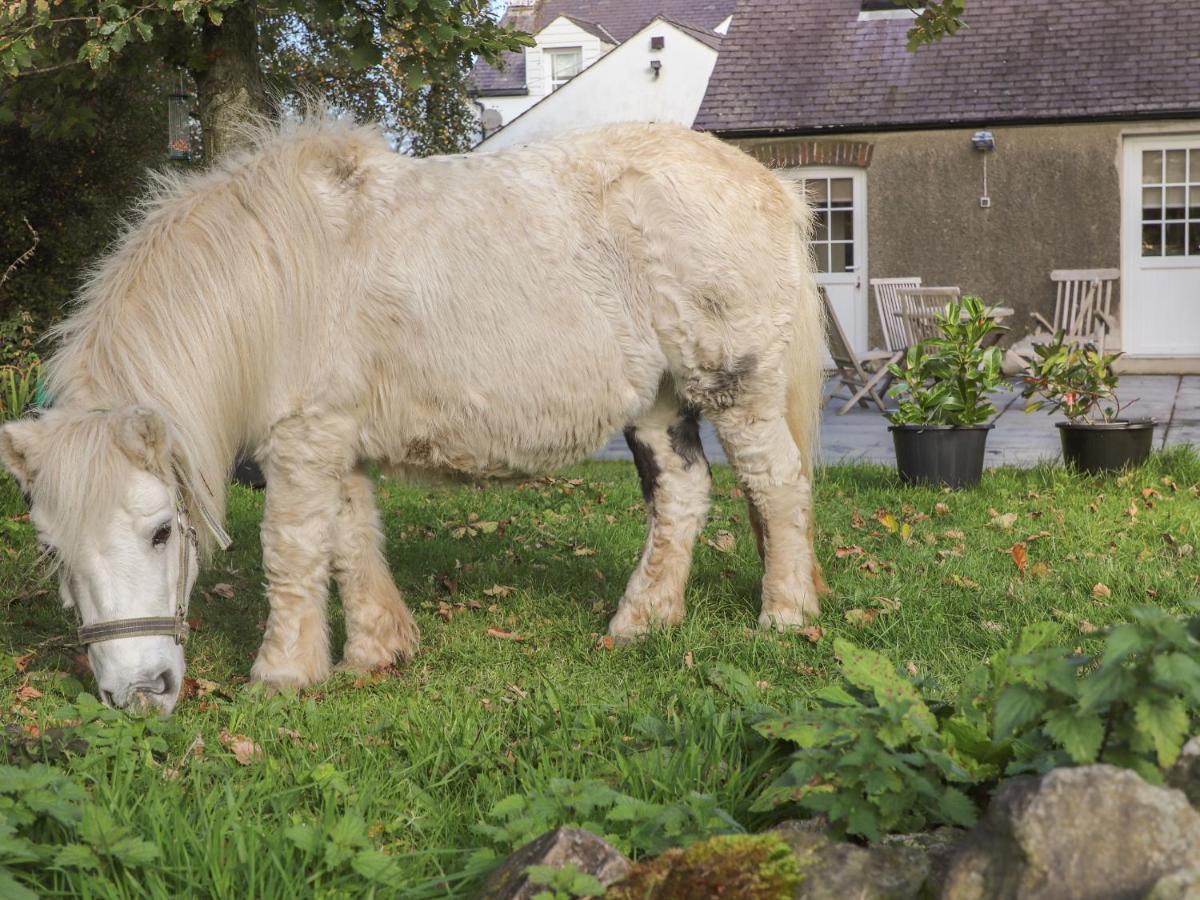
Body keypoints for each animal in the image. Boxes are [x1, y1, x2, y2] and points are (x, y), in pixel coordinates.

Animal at [0, 118, 825, 710]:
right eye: (53, 549)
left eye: (161, 532)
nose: (137, 694)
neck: (273, 280)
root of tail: (772, 186)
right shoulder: (334, 439)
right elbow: (350, 537)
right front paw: (377, 651)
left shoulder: (301, 442)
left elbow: (293, 550)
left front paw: (283, 673)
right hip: (658, 401)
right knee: (682, 495)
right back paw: (644, 621)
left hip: (736, 386)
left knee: (776, 486)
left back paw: (785, 614)